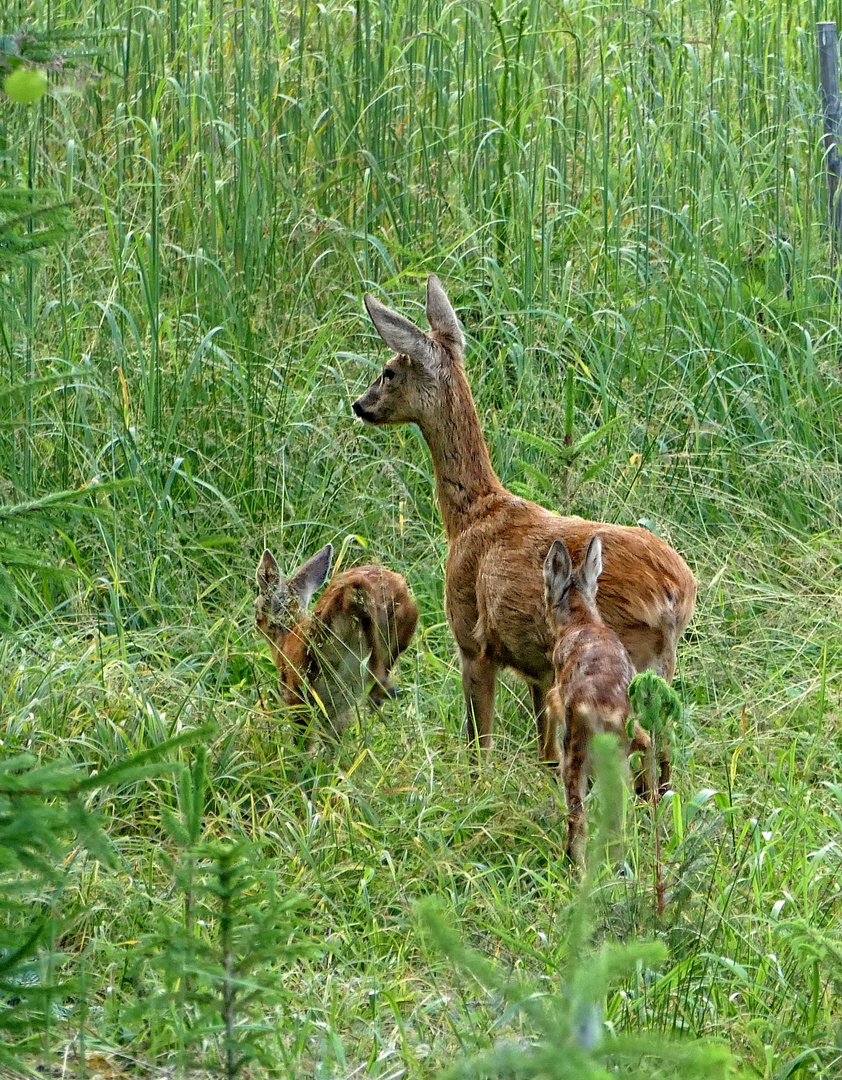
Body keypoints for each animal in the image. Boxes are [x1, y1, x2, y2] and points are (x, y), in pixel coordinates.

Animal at [351, 274, 695, 790]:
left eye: (389, 371)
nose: (360, 405)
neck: (471, 515)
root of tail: (676, 593)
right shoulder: (537, 668)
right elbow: (544, 748)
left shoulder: (472, 639)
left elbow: (479, 741)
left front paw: (475, 789)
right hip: (659, 668)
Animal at [541, 535, 643, 864]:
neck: (582, 621)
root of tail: (602, 712)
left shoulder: (556, 688)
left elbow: (548, 702)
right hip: (621, 751)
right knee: (617, 816)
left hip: (576, 751)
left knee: (579, 818)